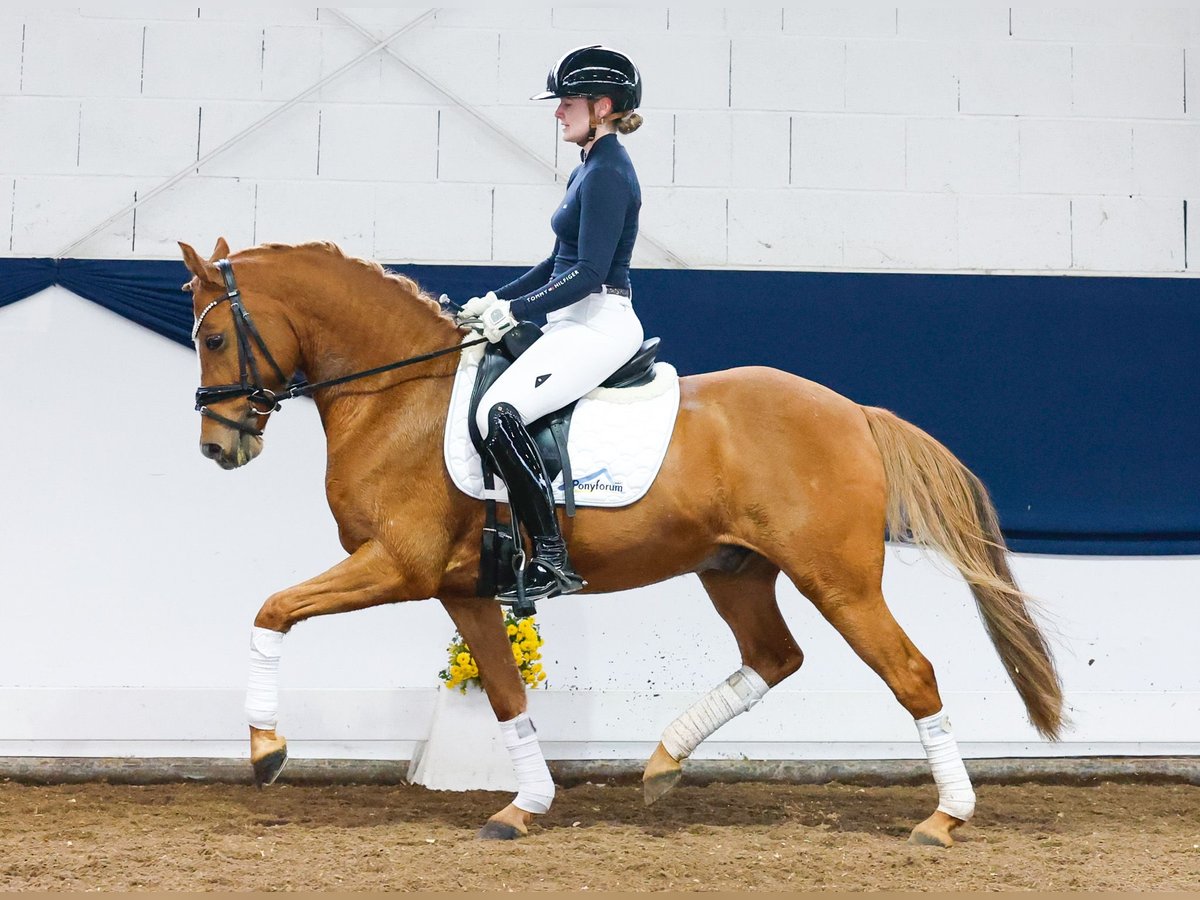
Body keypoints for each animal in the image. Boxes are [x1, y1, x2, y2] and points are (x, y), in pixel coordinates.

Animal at [177, 236, 1060, 849]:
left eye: (214, 339)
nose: (218, 447)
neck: (402, 398)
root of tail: (854, 412)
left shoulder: (397, 566)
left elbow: (272, 610)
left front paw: (265, 749)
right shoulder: (461, 590)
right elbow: (506, 695)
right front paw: (522, 808)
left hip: (837, 578)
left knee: (910, 672)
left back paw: (946, 819)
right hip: (735, 570)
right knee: (774, 657)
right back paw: (665, 761)